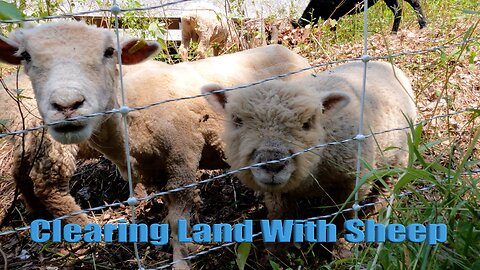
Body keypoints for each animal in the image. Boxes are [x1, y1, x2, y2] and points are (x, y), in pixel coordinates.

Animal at [0, 20, 312, 268]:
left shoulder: (182, 159)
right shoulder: (153, 171)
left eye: (109, 52)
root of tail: (288, 51)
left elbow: (178, 220)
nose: (67, 105)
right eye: (26, 56)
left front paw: (182, 260)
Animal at [202, 61, 416, 251]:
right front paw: (276, 253)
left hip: (400, 153)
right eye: (237, 120)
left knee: (391, 184)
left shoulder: (353, 182)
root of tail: (385, 64)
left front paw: (341, 247)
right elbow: (281, 217)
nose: (273, 164)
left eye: (307, 123)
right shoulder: (277, 195)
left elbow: (344, 215)